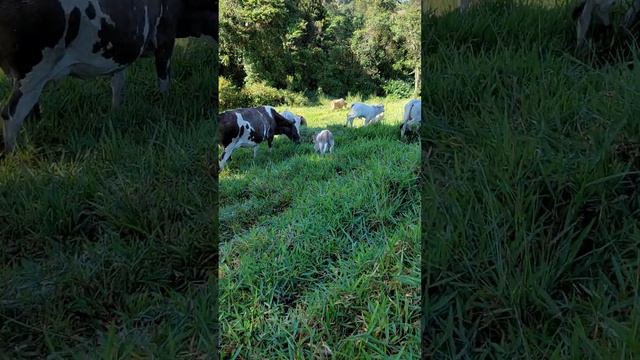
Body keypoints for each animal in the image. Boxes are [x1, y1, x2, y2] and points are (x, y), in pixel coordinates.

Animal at [0, 0, 218, 151]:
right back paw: (14, 155)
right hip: (33, 71)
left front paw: (116, 111)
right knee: (10, 113)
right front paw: (165, 105)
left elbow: (118, 83)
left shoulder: (122, 50)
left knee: (29, 111)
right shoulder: (165, 37)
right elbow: (164, 79)